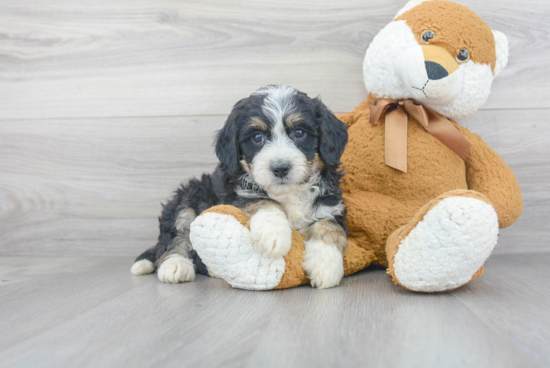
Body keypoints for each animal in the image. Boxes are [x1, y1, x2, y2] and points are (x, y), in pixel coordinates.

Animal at [130, 85, 350, 288]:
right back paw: (175, 265)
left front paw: (326, 265)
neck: (288, 193)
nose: (280, 168)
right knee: (175, 237)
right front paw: (274, 234)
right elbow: (264, 201)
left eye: (299, 132)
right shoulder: (236, 195)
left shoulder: (331, 203)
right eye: (257, 137)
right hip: (189, 195)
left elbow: (329, 225)